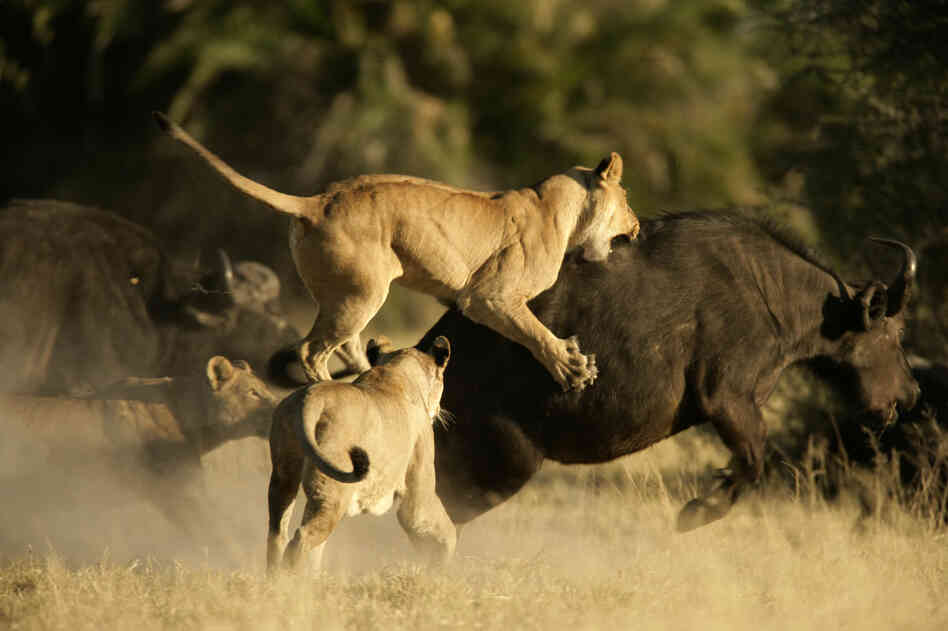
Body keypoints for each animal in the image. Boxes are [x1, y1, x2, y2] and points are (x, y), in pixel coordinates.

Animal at [155, 112, 639, 391]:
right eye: (628, 199)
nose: (635, 228)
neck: (558, 207)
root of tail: (315, 200)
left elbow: (533, 329)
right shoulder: (487, 297)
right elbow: (536, 333)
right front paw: (572, 368)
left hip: (347, 296)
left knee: (341, 347)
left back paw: (366, 379)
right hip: (364, 293)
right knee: (312, 351)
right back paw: (330, 393)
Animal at [266, 336, 454, 573]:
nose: (439, 411)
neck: (396, 370)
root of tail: (311, 398)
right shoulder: (418, 494)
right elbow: (443, 530)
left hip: (283, 478)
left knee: (279, 534)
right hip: (332, 493)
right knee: (302, 538)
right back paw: (295, 581)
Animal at [417, 211, 920, 531]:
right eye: (895, 334)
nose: (911, 394)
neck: (772, 292)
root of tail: (430, 348)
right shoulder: (727, 398)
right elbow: (755, 459)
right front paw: (696, 513)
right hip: (505, 463)